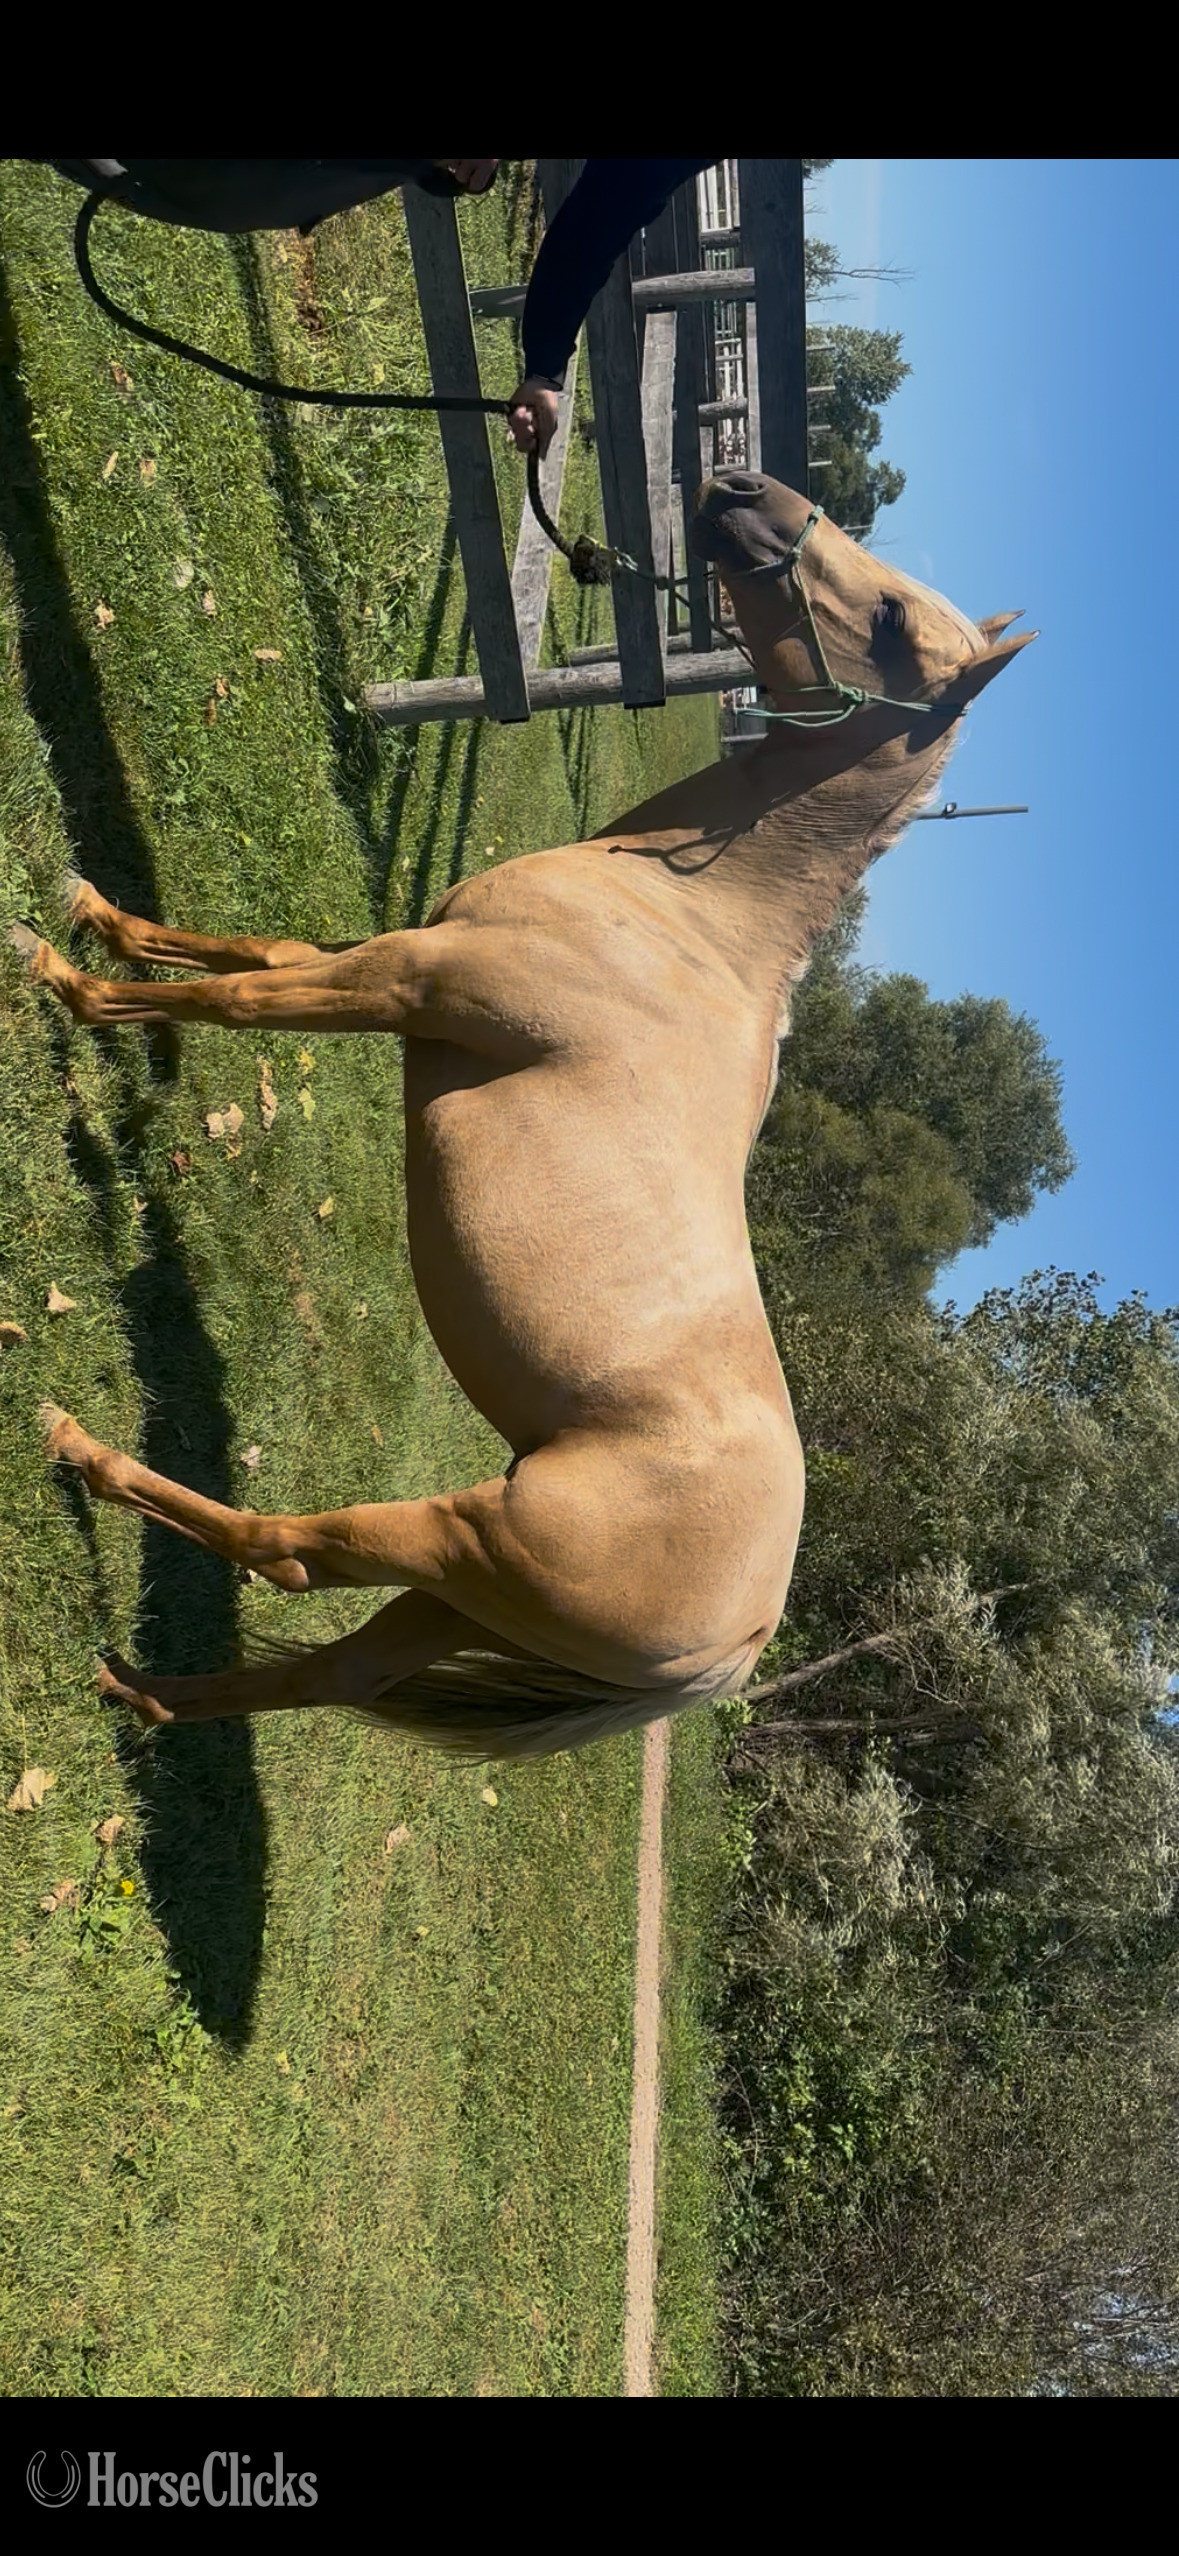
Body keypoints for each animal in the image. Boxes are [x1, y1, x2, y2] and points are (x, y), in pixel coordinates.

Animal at [12, 471, 1033, 1757]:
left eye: (894, 619)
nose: (734, 485)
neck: (686, 922)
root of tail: (736, 1649)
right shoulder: (404, 958)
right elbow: (258, 952)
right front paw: (99, 915)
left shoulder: (410, 981)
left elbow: (240, 993)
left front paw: (67, 979)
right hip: (460, 1595)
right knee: (331, 1671)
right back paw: (137, 1693)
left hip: (461, 1544)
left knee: (289, 1557)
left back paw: (78, 1452)